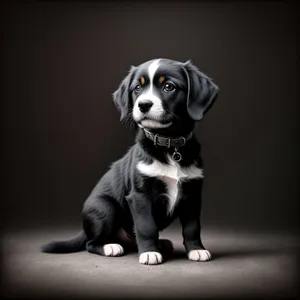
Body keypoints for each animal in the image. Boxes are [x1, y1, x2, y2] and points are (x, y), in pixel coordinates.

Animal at [41, 58, 218, 264]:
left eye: (169, 86)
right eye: (137, 88)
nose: (143, 105)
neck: (169, 143)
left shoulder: (192, 195)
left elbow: (192, 227)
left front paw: (197, 249)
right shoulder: (140, 195)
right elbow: (146, 226)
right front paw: (149, 253)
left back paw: (161, 243)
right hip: (104, 207)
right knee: (91, 244)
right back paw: (110, 246)